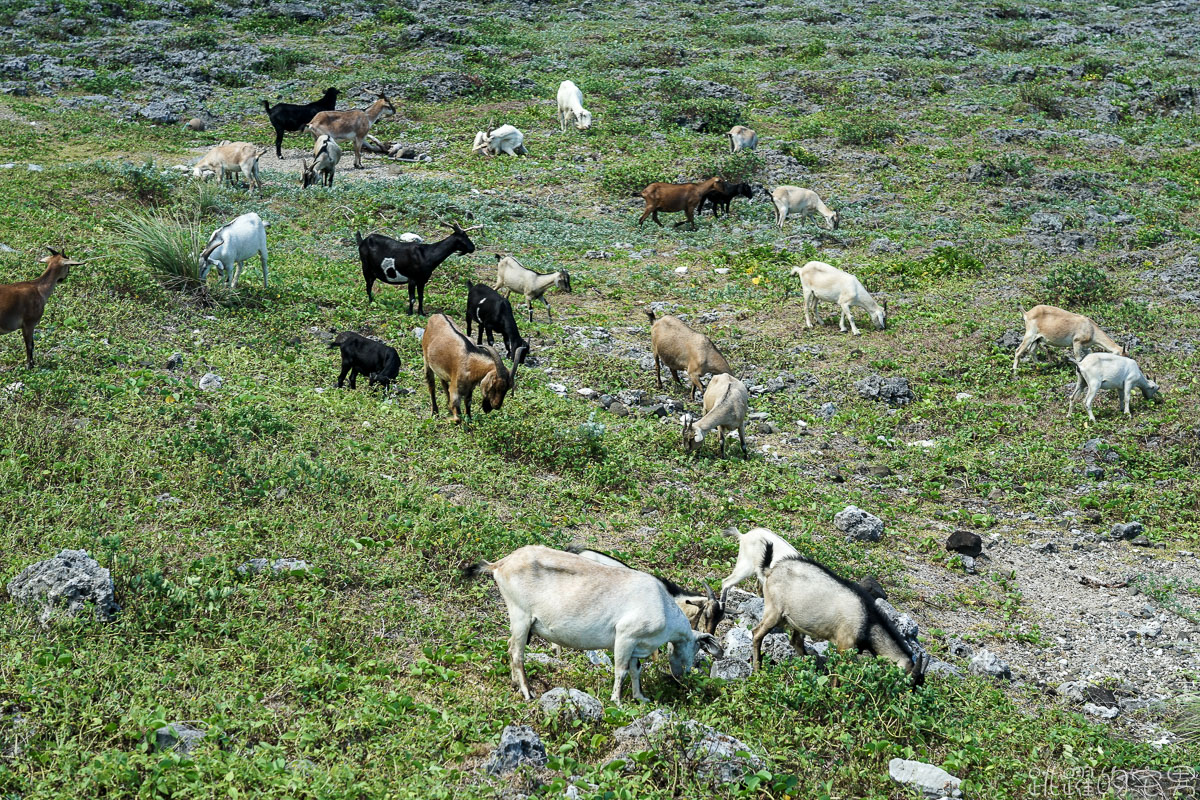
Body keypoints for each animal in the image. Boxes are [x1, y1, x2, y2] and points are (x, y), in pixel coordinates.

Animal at [460, 546, 720, 705]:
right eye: (698, 647)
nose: (683, 675)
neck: (663, 604)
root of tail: (500, 564)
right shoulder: (625, 636)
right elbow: (621, 670)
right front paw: (617, 701)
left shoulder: (637, 645)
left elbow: (636, 670)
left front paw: (640, 698)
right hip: (521, 615)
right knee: (516, 653)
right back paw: (527, 692)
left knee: (509, 646)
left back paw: (515, 683)